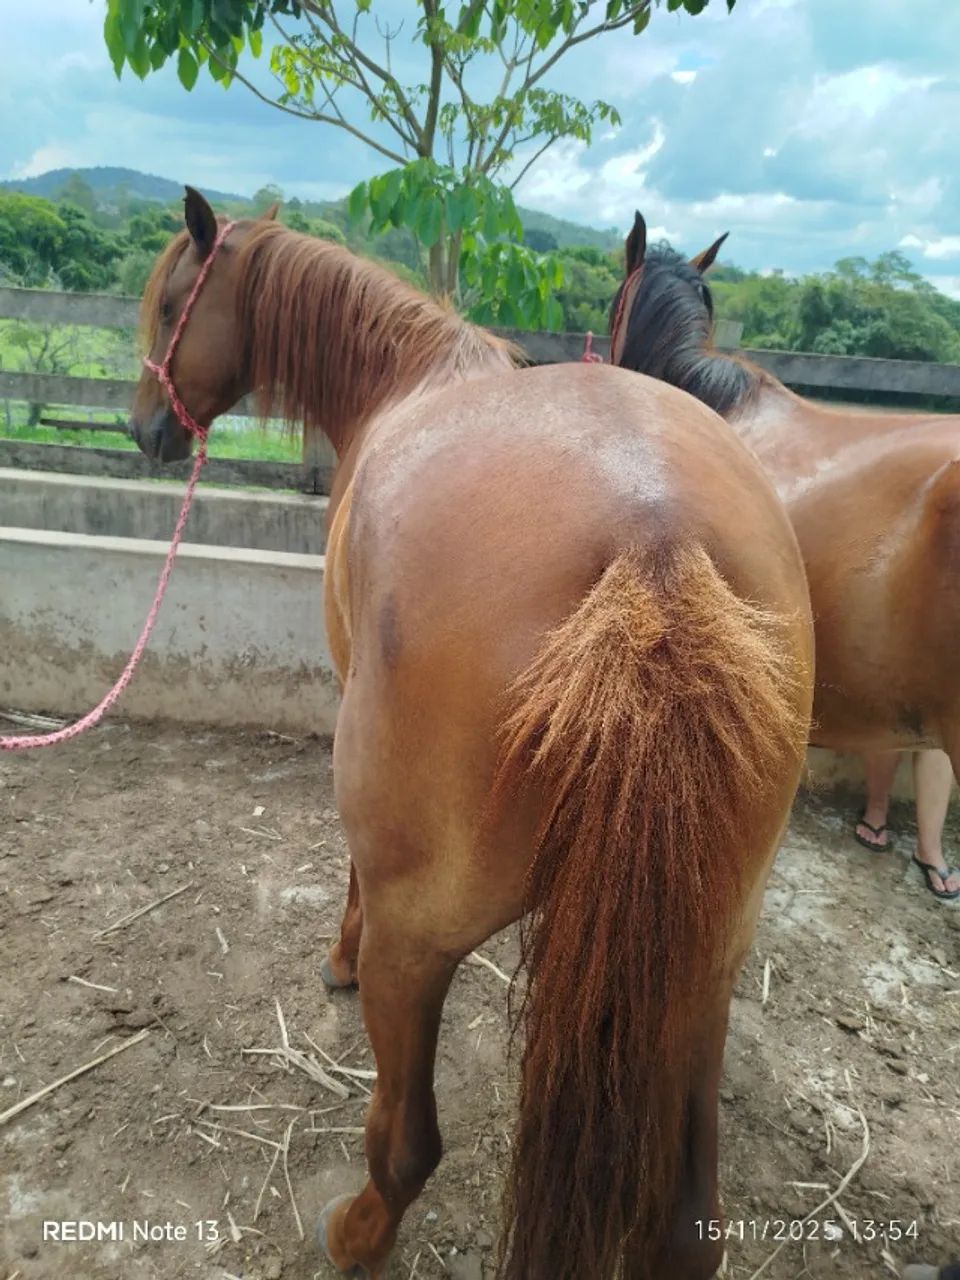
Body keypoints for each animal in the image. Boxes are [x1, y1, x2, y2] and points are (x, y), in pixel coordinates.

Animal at [129, 187, 814, 1280]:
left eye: (165, 307)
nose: (146, 428)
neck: (409, 379)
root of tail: (654, 549)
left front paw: (337, 952)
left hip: (422, 945)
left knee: (408, 1141)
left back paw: (356, 1233)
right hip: (702, 963)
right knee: (688, 1219)